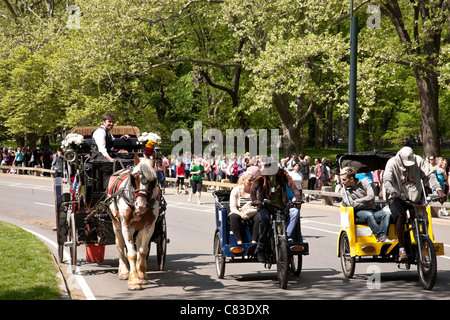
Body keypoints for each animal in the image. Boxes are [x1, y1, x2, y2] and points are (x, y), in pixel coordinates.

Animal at [107, 155, 159, 290]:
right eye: (134, 178)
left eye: (153, 180)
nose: (141, 206)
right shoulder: (126, 227)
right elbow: (131, 253)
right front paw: (134, 280)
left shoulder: (149, 227)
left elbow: (143, 251)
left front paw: (141, 275)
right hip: (116, 224)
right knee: (120, 245)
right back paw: (124, 271)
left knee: (139, 245)